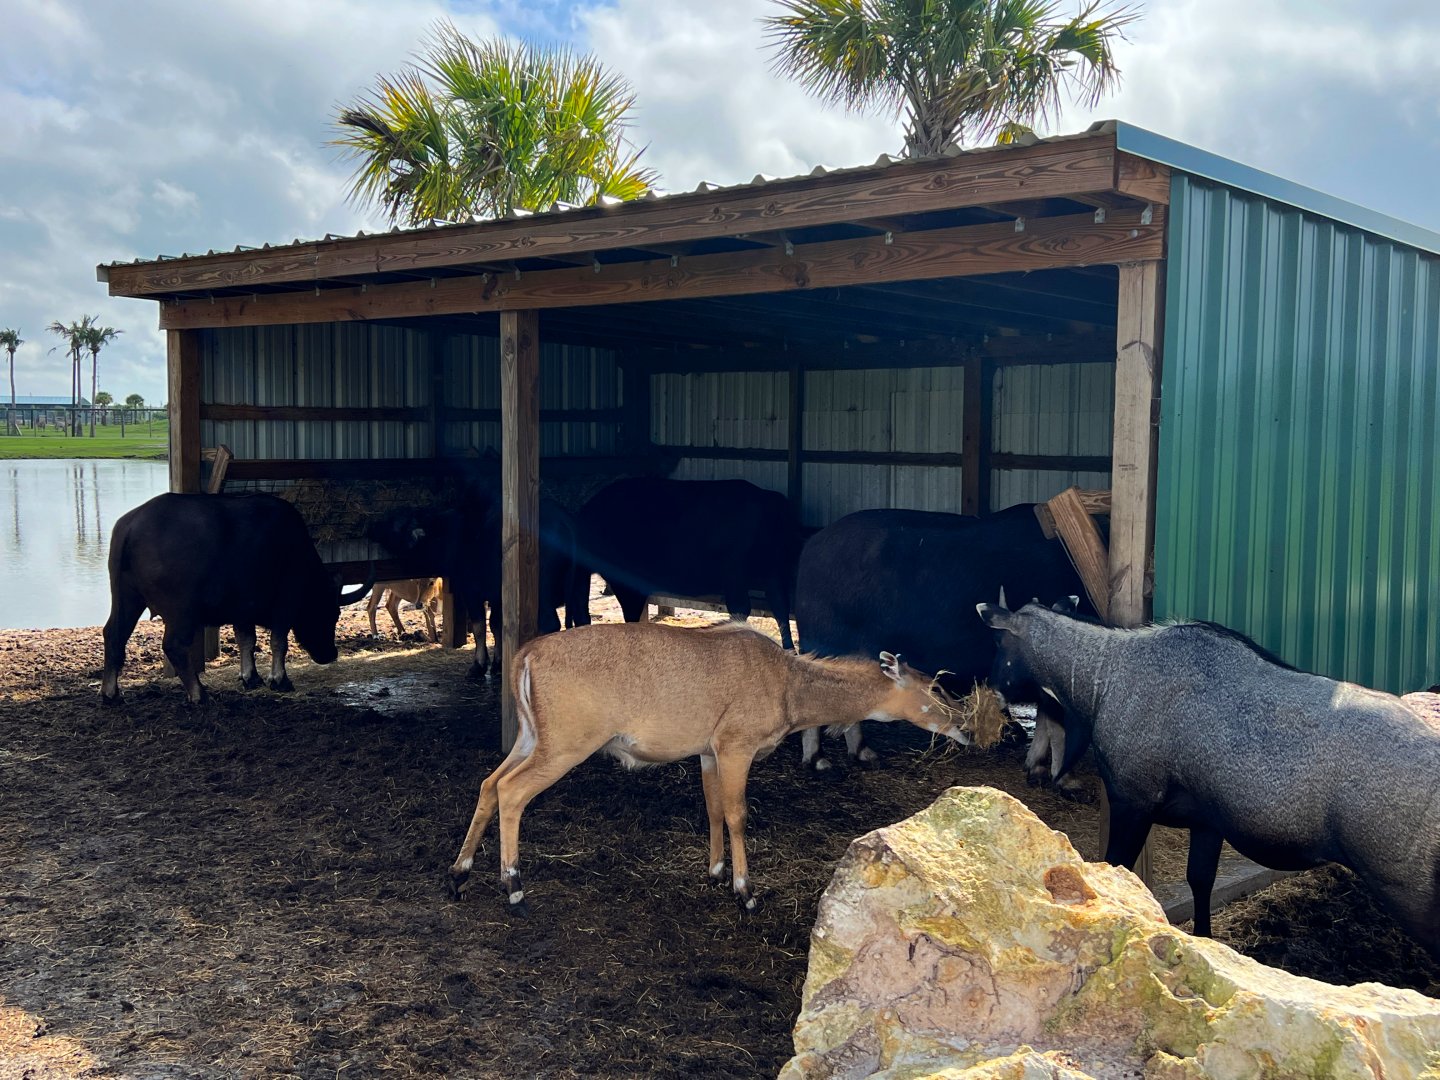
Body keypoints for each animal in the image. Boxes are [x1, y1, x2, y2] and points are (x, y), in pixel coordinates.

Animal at [101, 492, 370, 704]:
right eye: (331, 613)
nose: (330, 654)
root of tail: (132, 526)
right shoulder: (285, 606)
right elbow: (278, 642)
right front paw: (279, 680)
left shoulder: (242, 611)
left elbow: (246, 641)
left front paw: (250, 677)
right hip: (181, 611)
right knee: (174, 645)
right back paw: (199, 694)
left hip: (126, 599)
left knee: (114, 635)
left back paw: (111, 693)